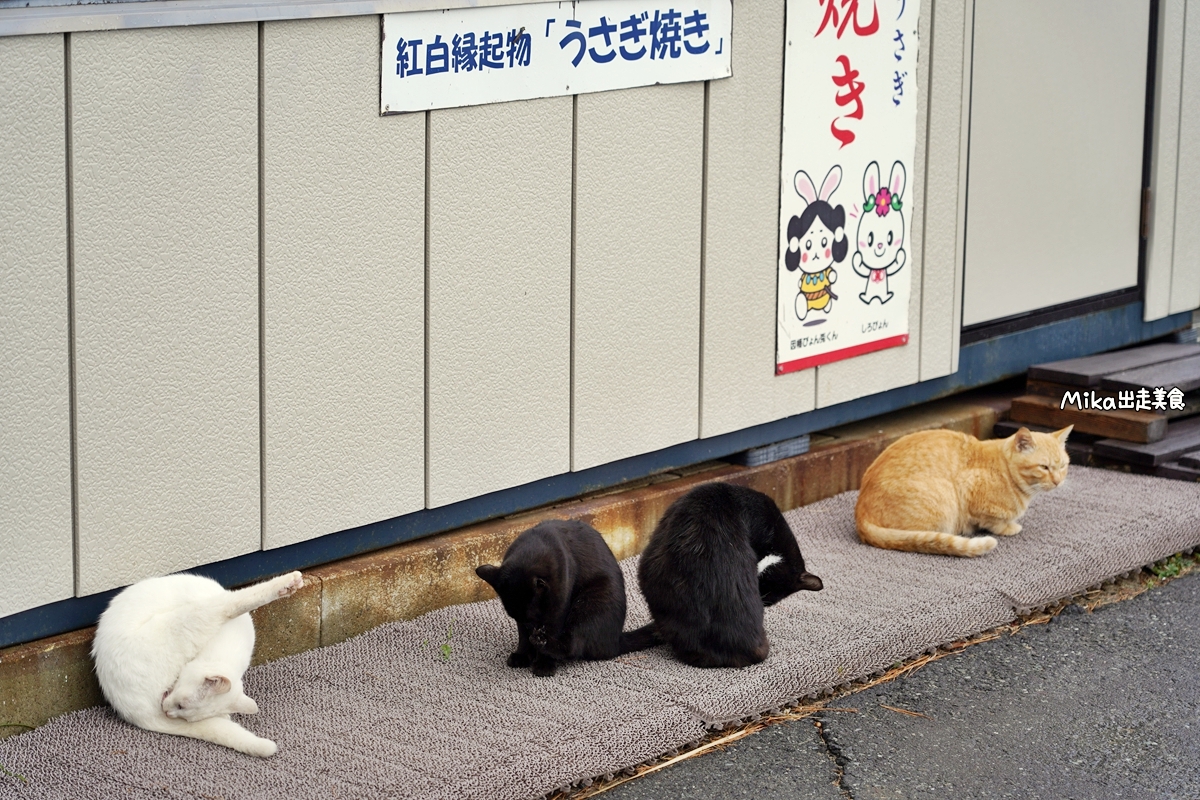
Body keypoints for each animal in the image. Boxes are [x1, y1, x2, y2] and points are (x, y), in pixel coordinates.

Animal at [90, 573, 302, 753]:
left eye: (184, 712)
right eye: (181, 706)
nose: (168, 712)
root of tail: (138, 714)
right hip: (190, 617)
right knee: (233, 603)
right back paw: (288, 583)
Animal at [475, 520, 628, 676]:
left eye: (533, 617)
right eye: (521, 619)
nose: (532, 628)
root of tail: (615, 642)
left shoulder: (557, 610)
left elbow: (553, 630)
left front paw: (544, 664)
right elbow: (523, 636)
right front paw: (522, 655)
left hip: (590, 602)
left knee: (573, 645)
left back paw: (541, 642)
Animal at [859, 424, 1075, 556]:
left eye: (1063, 466)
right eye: (1044, 467)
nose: (1058, 481)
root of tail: (860, 515)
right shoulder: (971, 492)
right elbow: (993, 522)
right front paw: (1008, 527)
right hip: (944, 498)